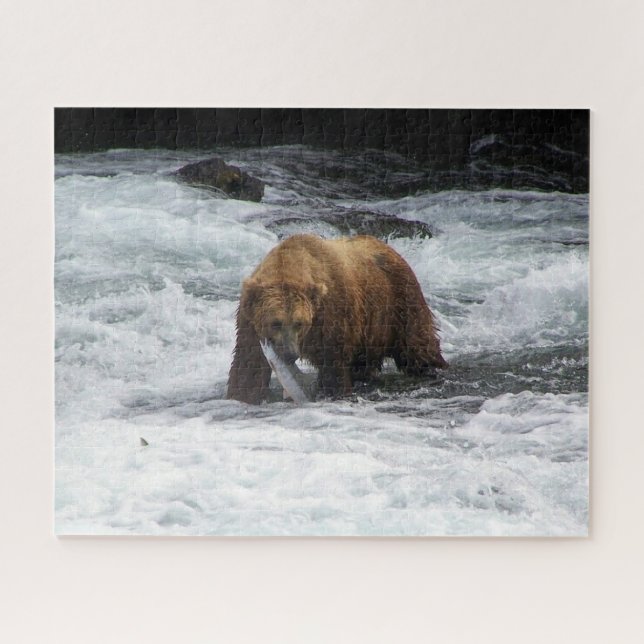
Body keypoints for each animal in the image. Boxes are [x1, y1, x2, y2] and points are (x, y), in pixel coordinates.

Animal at [226, 234, 447, 404]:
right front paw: (242, 395)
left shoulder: (332, 318)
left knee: (418, 348)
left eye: (299, 323)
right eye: (275, 323)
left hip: (399, 303)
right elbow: (248, 366)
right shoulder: (248, 319)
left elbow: (333, 368)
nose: (290, 353)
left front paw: (334, 393)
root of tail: (390, 248)